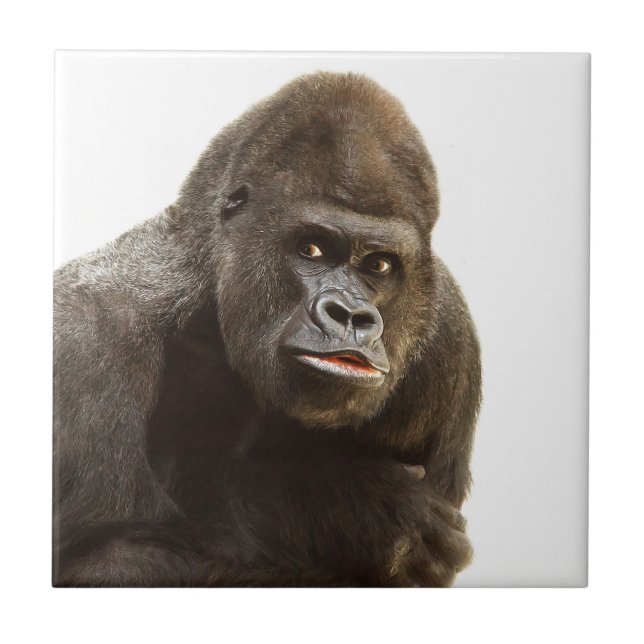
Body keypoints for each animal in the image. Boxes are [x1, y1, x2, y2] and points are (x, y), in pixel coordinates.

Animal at [53, 71, 481, 587]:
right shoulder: (84, 339)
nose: (350, 316)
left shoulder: (449, 341)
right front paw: (353, 508)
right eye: (311, 249)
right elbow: (108, 558)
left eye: (379, 265)